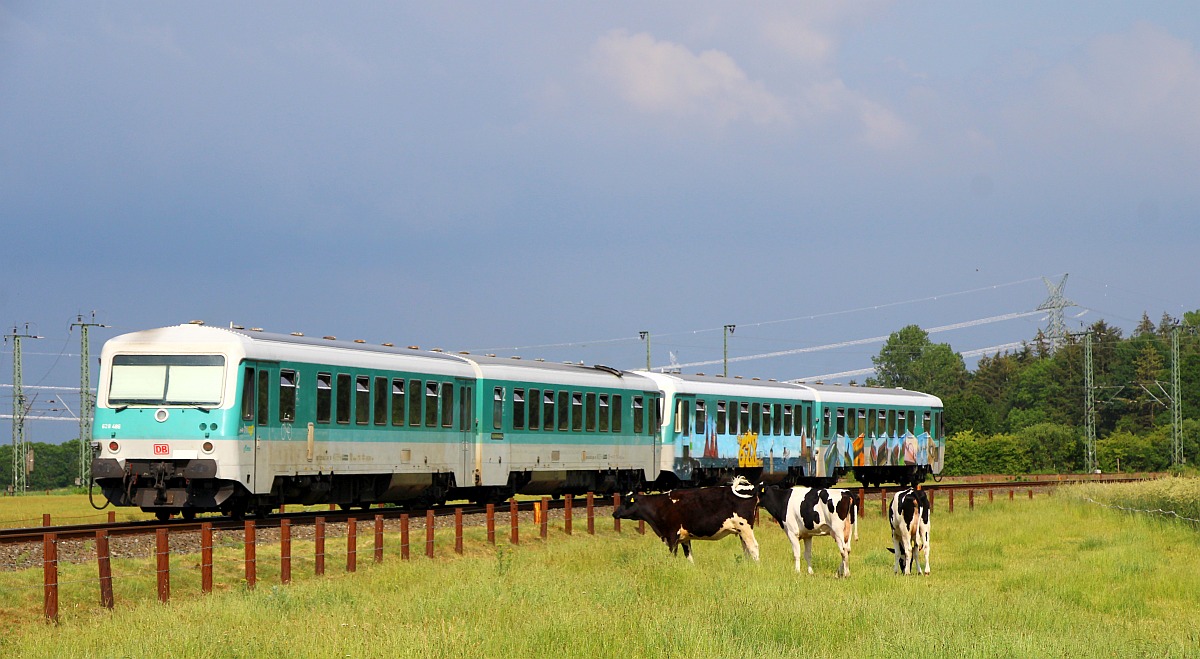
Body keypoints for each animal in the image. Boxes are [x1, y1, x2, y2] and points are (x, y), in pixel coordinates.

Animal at [609, 475, 758, 561]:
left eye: (626, 502)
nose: (614, 514)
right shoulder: (684, 537)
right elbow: (689, 556)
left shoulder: (672, 536)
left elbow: (672, 556)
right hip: (741, 532)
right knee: (746, 549)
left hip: (745, 528)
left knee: (753, 547)